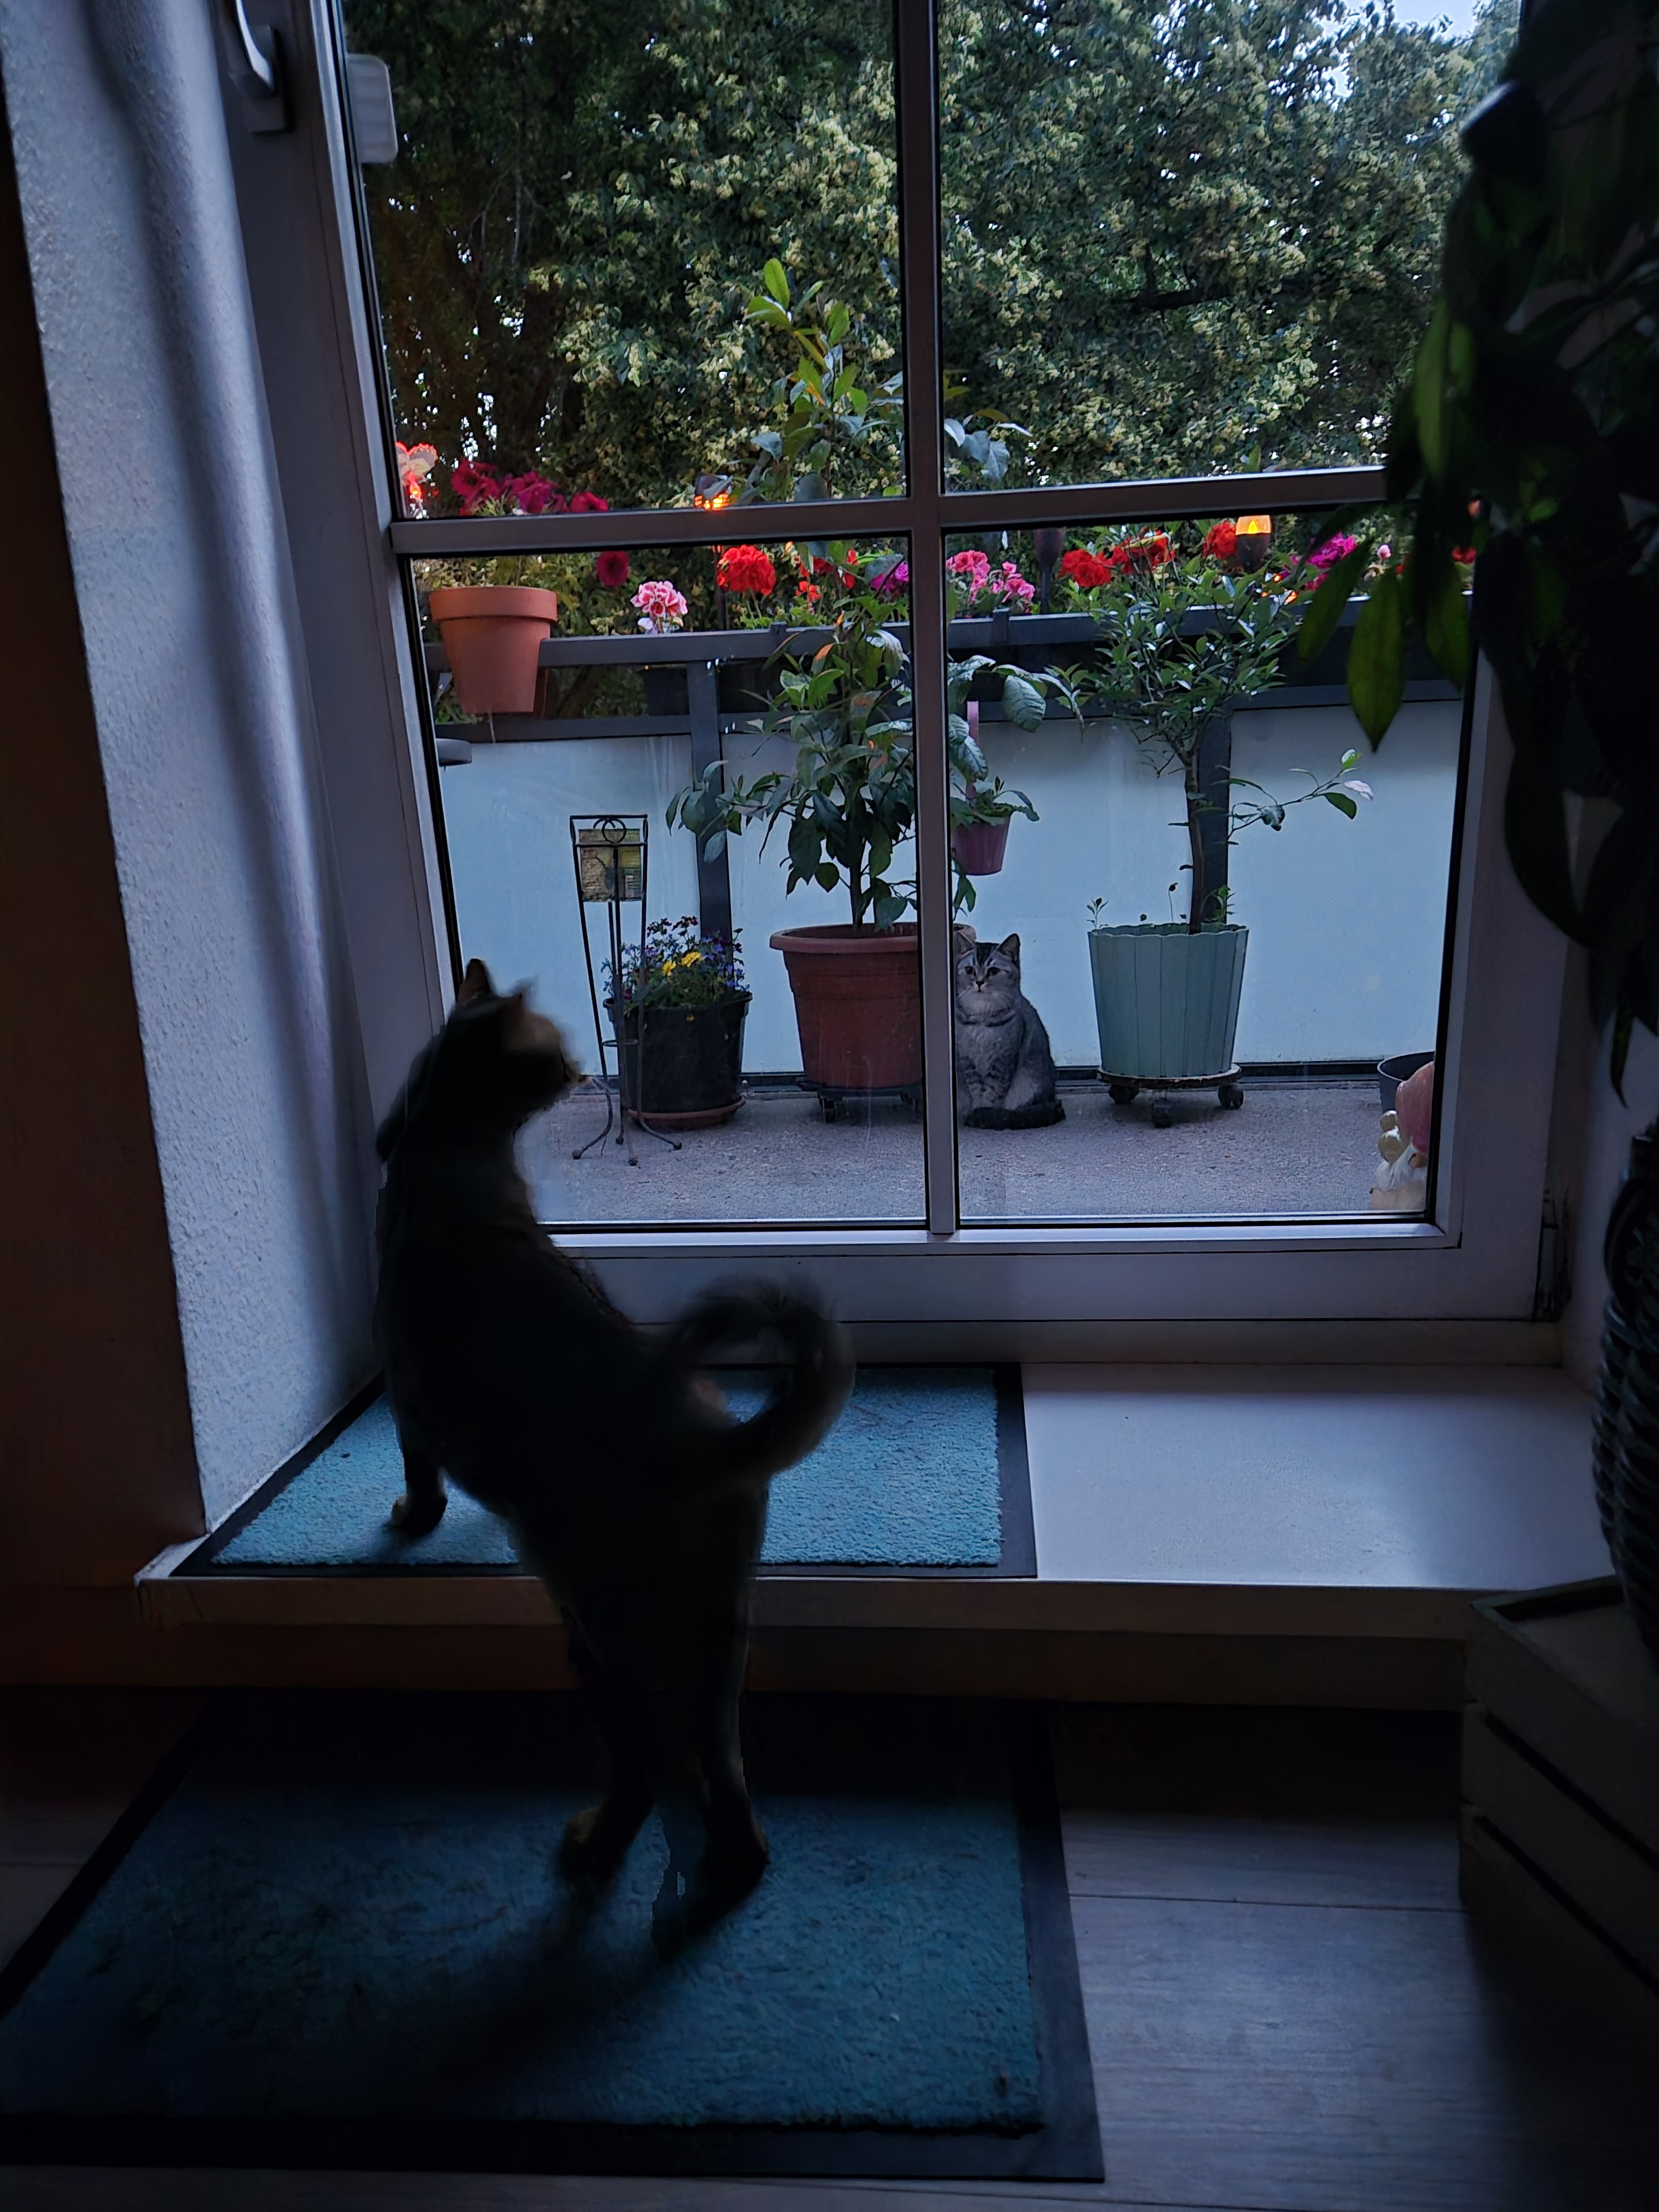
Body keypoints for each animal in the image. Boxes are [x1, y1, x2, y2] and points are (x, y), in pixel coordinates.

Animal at [372, 959, 852, 1950]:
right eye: (553, 1047)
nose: (576, 1066)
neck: (446, 1151)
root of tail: (709, 1442)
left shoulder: (406, 1393)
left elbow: (419, 1477)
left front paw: (409, 1521)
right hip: (716, 1645)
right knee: (736, 1809)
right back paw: (719, 1883)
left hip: (603, 1645)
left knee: (651, 1777)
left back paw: (594, 1851)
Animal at [953, 928, 1066, 1129]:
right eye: (969, 970)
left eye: (993, 971)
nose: (979, 982)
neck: (982, 1020)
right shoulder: (968, 1063)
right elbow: (976, 1091)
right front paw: (977, 1113)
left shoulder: (1003, 1062)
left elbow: (993, 1094)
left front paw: (985, 1115)